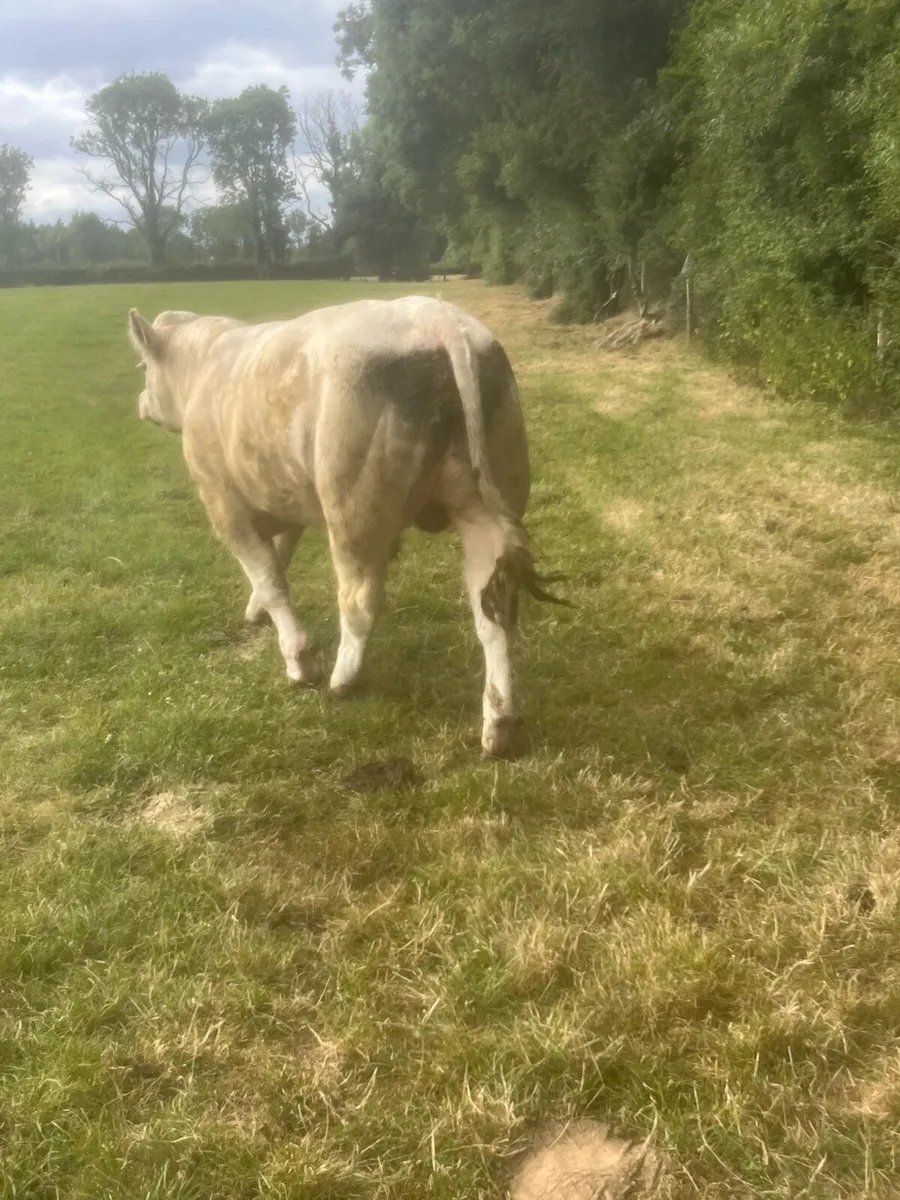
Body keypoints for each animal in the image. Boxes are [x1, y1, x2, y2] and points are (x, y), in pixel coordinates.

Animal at [127, 295, 563, 757]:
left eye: (142, 367)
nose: (140, 401)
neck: (202, 368)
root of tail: (437, 317)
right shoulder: (284, 499)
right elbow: (276, 562)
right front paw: (255, 612)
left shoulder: (224, 503)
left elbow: (269, 578)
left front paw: (300, 661)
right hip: (485, 501)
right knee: (493, 606)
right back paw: (499, 724)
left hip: (354, 507)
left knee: (360, 598)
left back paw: (342, 680)